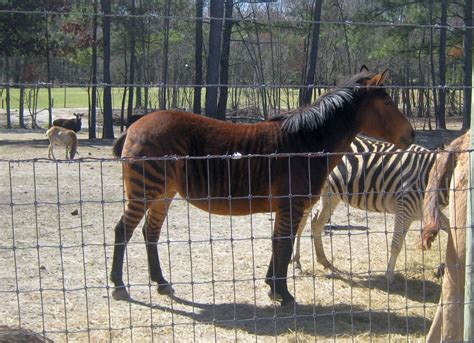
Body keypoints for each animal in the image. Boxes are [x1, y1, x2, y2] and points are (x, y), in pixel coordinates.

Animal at [109, 66, 412, 306]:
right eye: (388, 102)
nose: (411, 134)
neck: (305, 144)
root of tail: (136, 124)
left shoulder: (287, 207)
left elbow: (279, 243)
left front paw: (272, 287)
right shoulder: (292, 205)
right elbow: (284, 246)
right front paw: (283, 294)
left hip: (164, 193)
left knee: (150, 232)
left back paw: (161, 283)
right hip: (146, 189)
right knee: (123, 230)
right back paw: (119, 286)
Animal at [290, 136, 450, 284]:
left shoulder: (426, 211)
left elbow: (450, 228)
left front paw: (444, 267)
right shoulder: (405, 207)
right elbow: (396, 244)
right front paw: (389, 276)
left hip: (330, 192)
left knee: (316, 222)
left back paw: (325, 262)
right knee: (301, 223)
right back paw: (297, 263)